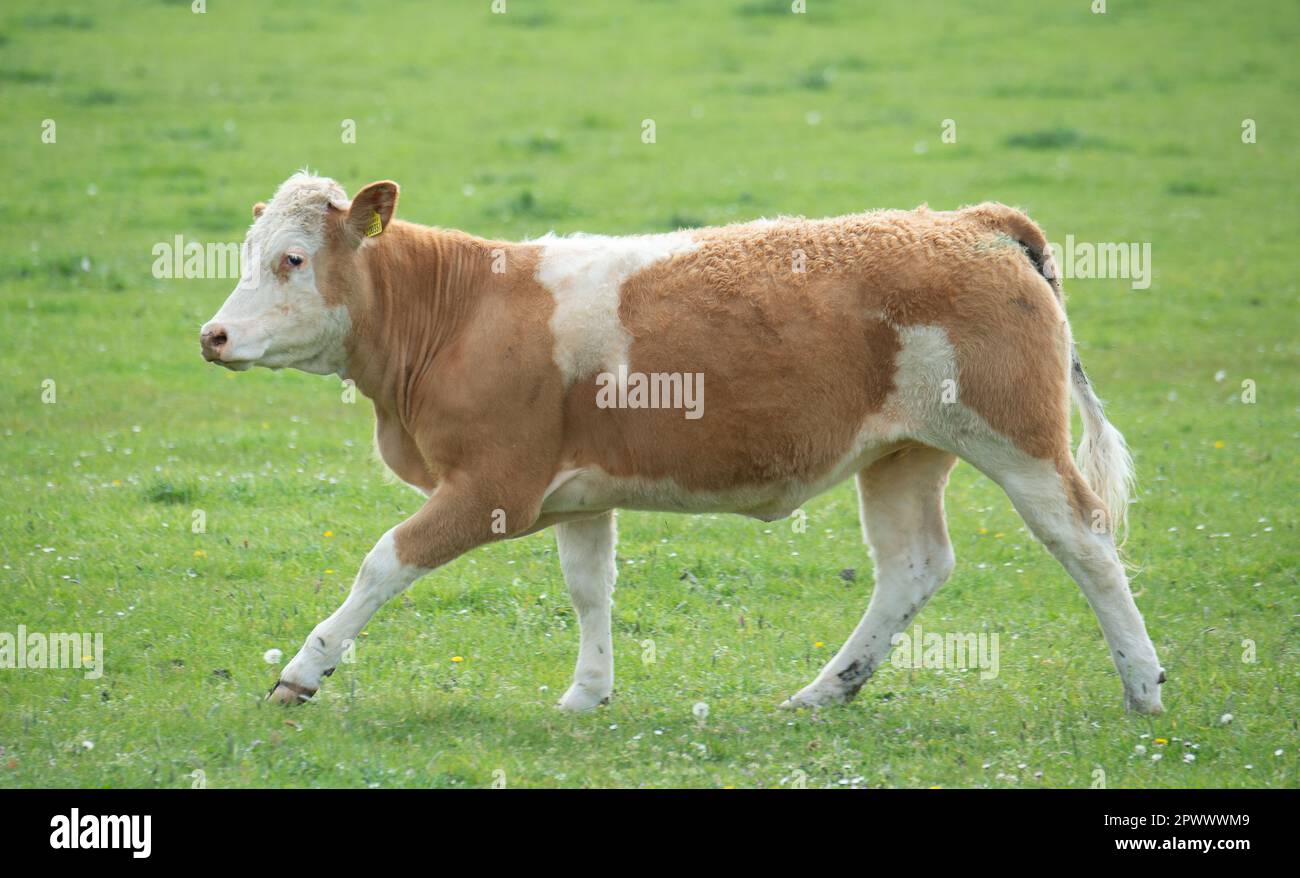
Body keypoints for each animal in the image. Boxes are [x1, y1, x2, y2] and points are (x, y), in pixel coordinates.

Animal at [202, 170, 1170, 712]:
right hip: (901, 455)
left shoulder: (489, 489)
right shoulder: (576, 494)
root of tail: (971, 221)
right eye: (249, 253)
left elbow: (383, 563)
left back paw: (1143, 685)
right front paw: (587, 693)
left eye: (292, 259)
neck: (462, 308)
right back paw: (828, 691)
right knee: (913, 570)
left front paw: (305, 670)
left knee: (1086, 543)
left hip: (1017, 440)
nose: (213, 336)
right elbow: (588, 588)